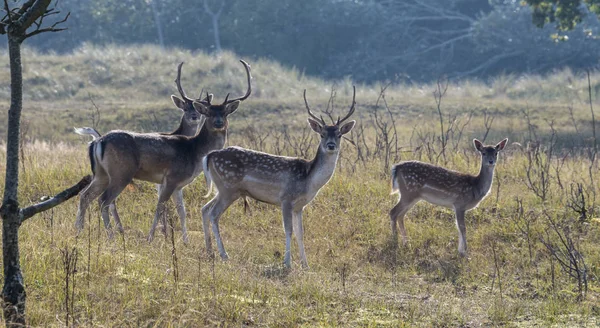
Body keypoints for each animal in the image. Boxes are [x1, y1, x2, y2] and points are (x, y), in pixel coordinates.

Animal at [76, 59, 252, 243]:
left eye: (225, 113)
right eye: (209, 113)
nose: (218, 123)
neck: (194, 152)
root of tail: (98, 141)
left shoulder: (179, 185)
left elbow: (182, 211)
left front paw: (185, 241)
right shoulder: (171, 178)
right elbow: (160, 207)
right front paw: (152, 238)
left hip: (101, 174)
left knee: (85, 196)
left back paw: (79, 232)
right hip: (121, 172)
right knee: (104, 200)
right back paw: (111, 237)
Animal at [204, 86, 358, 268]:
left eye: (339, 134)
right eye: (322, 134)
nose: (331, 145)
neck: (308, 180)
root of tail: (209, 155)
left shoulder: (300, 206)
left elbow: (300, 233)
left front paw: (306, 264)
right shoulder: (286, 198)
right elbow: (288, 230)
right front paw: (287, 263)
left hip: (222, 189)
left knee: (205, 208)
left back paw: (209, 251)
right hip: (228, 188)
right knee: (213, 214)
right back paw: (224, 254)